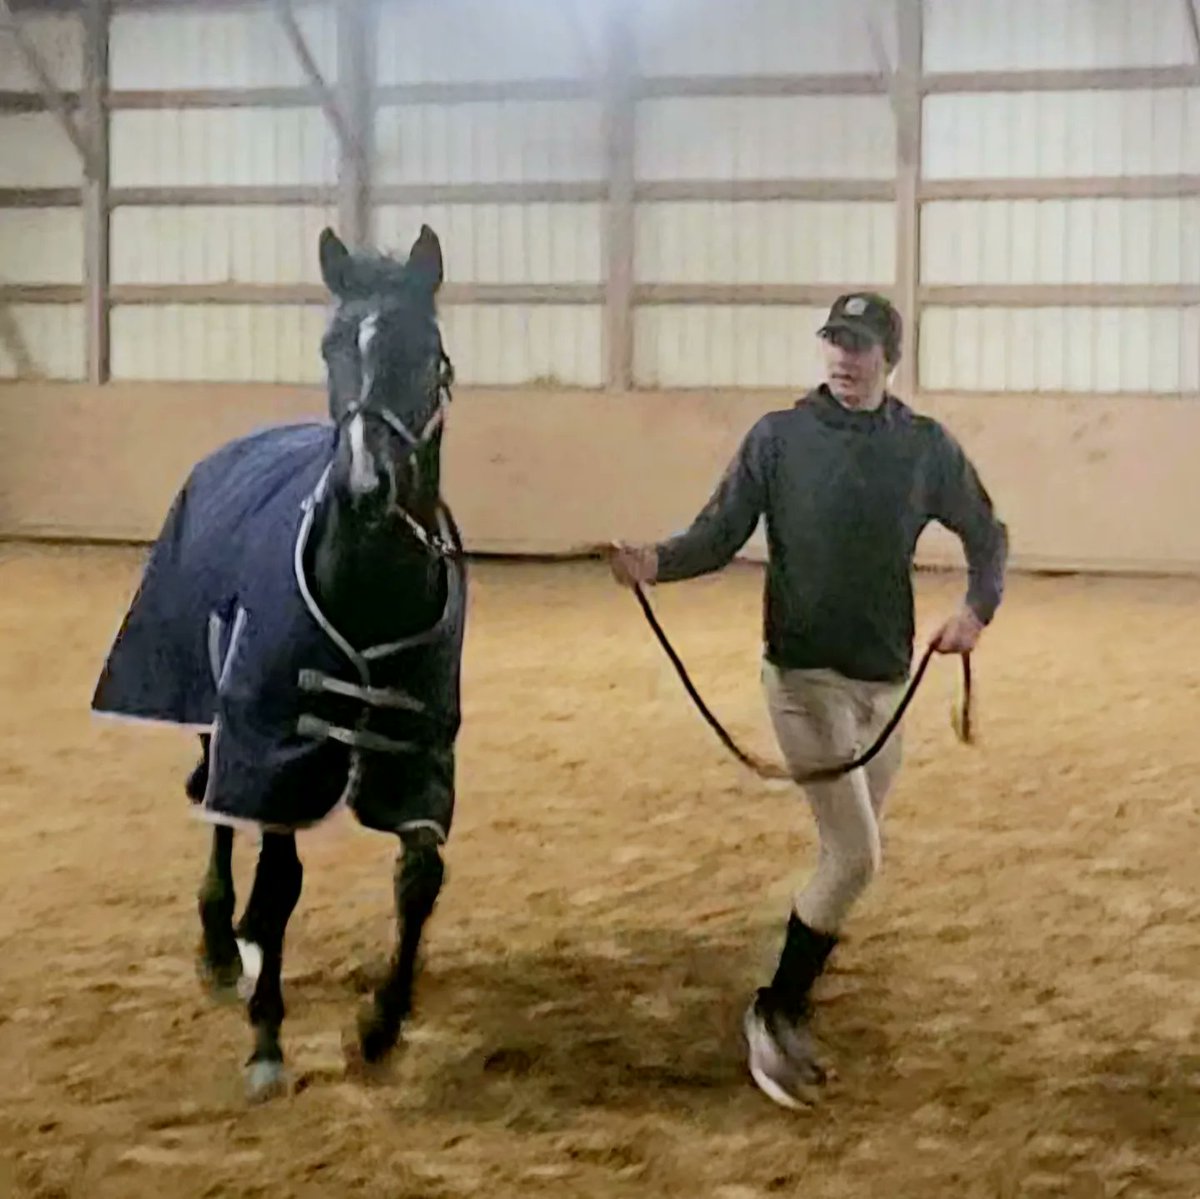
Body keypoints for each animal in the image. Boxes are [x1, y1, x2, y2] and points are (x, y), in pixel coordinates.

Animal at [90, 223, 466, 1101]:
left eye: (424, 349)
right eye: (332, 345)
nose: (364, 487)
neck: (367, 579)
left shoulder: (418, 747)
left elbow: (419, 877)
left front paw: (380, 1025)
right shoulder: (275, 738)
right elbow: (280, 876)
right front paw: (265, 1037)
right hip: (214, 712)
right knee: (222, 820)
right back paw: (222, 946)